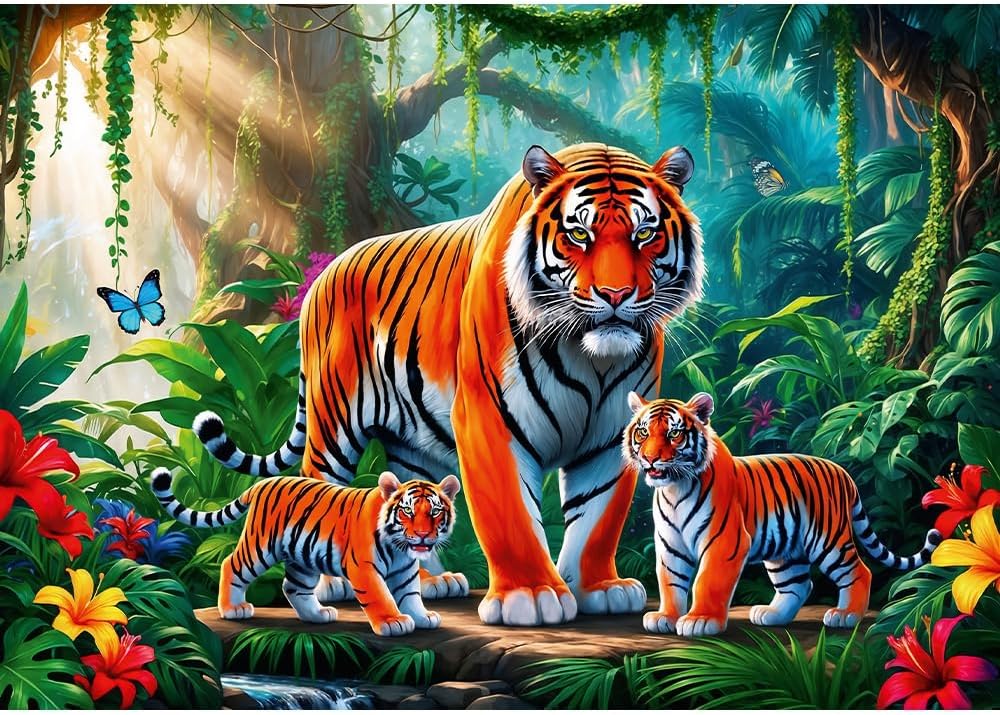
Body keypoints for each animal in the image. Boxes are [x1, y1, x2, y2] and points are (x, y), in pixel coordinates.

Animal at [150, 467, 460, 636]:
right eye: (407, 510)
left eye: (434, 511)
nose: (423, 535)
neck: (399, 549)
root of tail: (262, 483)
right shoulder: (364, 568)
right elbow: (381, 596)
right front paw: (393, 622)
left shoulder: (405, 571)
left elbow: (411, 596)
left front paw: (422, 617)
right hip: (260, 547)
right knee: (231, 564)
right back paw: (232, 609)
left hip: (303, 559)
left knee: (293, 587)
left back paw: (317, 614)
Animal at [192, 142, 704, 626]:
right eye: (579, 233)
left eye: (644, 233)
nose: (616, 295)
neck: (590, 358)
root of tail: (324, 272)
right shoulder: (491, 420)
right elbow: (512, 517)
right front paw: (531, 595)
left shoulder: (612, 433)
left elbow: (599, 519)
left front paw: (598, 588)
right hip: (333, 423)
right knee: (320, 483)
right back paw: (329, 585)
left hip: (411, 439)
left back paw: (430, 581)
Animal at [623, 392, 942, 637]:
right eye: (643, 432)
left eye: (674, 433)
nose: (650, 459)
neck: (674, 490)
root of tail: (842, 471)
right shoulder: (670, 546)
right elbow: (670, 582)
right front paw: (665, 617)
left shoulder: (725, 542)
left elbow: (707, 581)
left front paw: (700, 620)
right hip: (785, 550)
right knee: (799, 584)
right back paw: (772, 615)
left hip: (828, 541)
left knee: (859, 571)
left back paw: (845, 615)